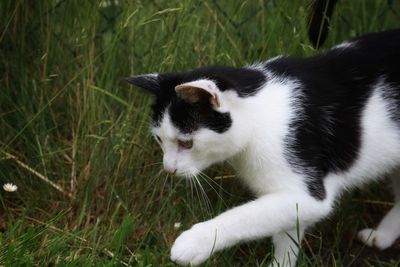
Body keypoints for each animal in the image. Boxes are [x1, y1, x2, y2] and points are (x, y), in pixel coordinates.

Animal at [126, 28, 400, 266]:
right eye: (159, 140)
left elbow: (246, 216)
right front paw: (282, 262)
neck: (258, 118)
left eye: (186, 143)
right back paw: (382, 236)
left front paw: (196, 241)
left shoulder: (308, 193)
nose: (169, 169)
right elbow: (286, 235)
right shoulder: (291, 195)